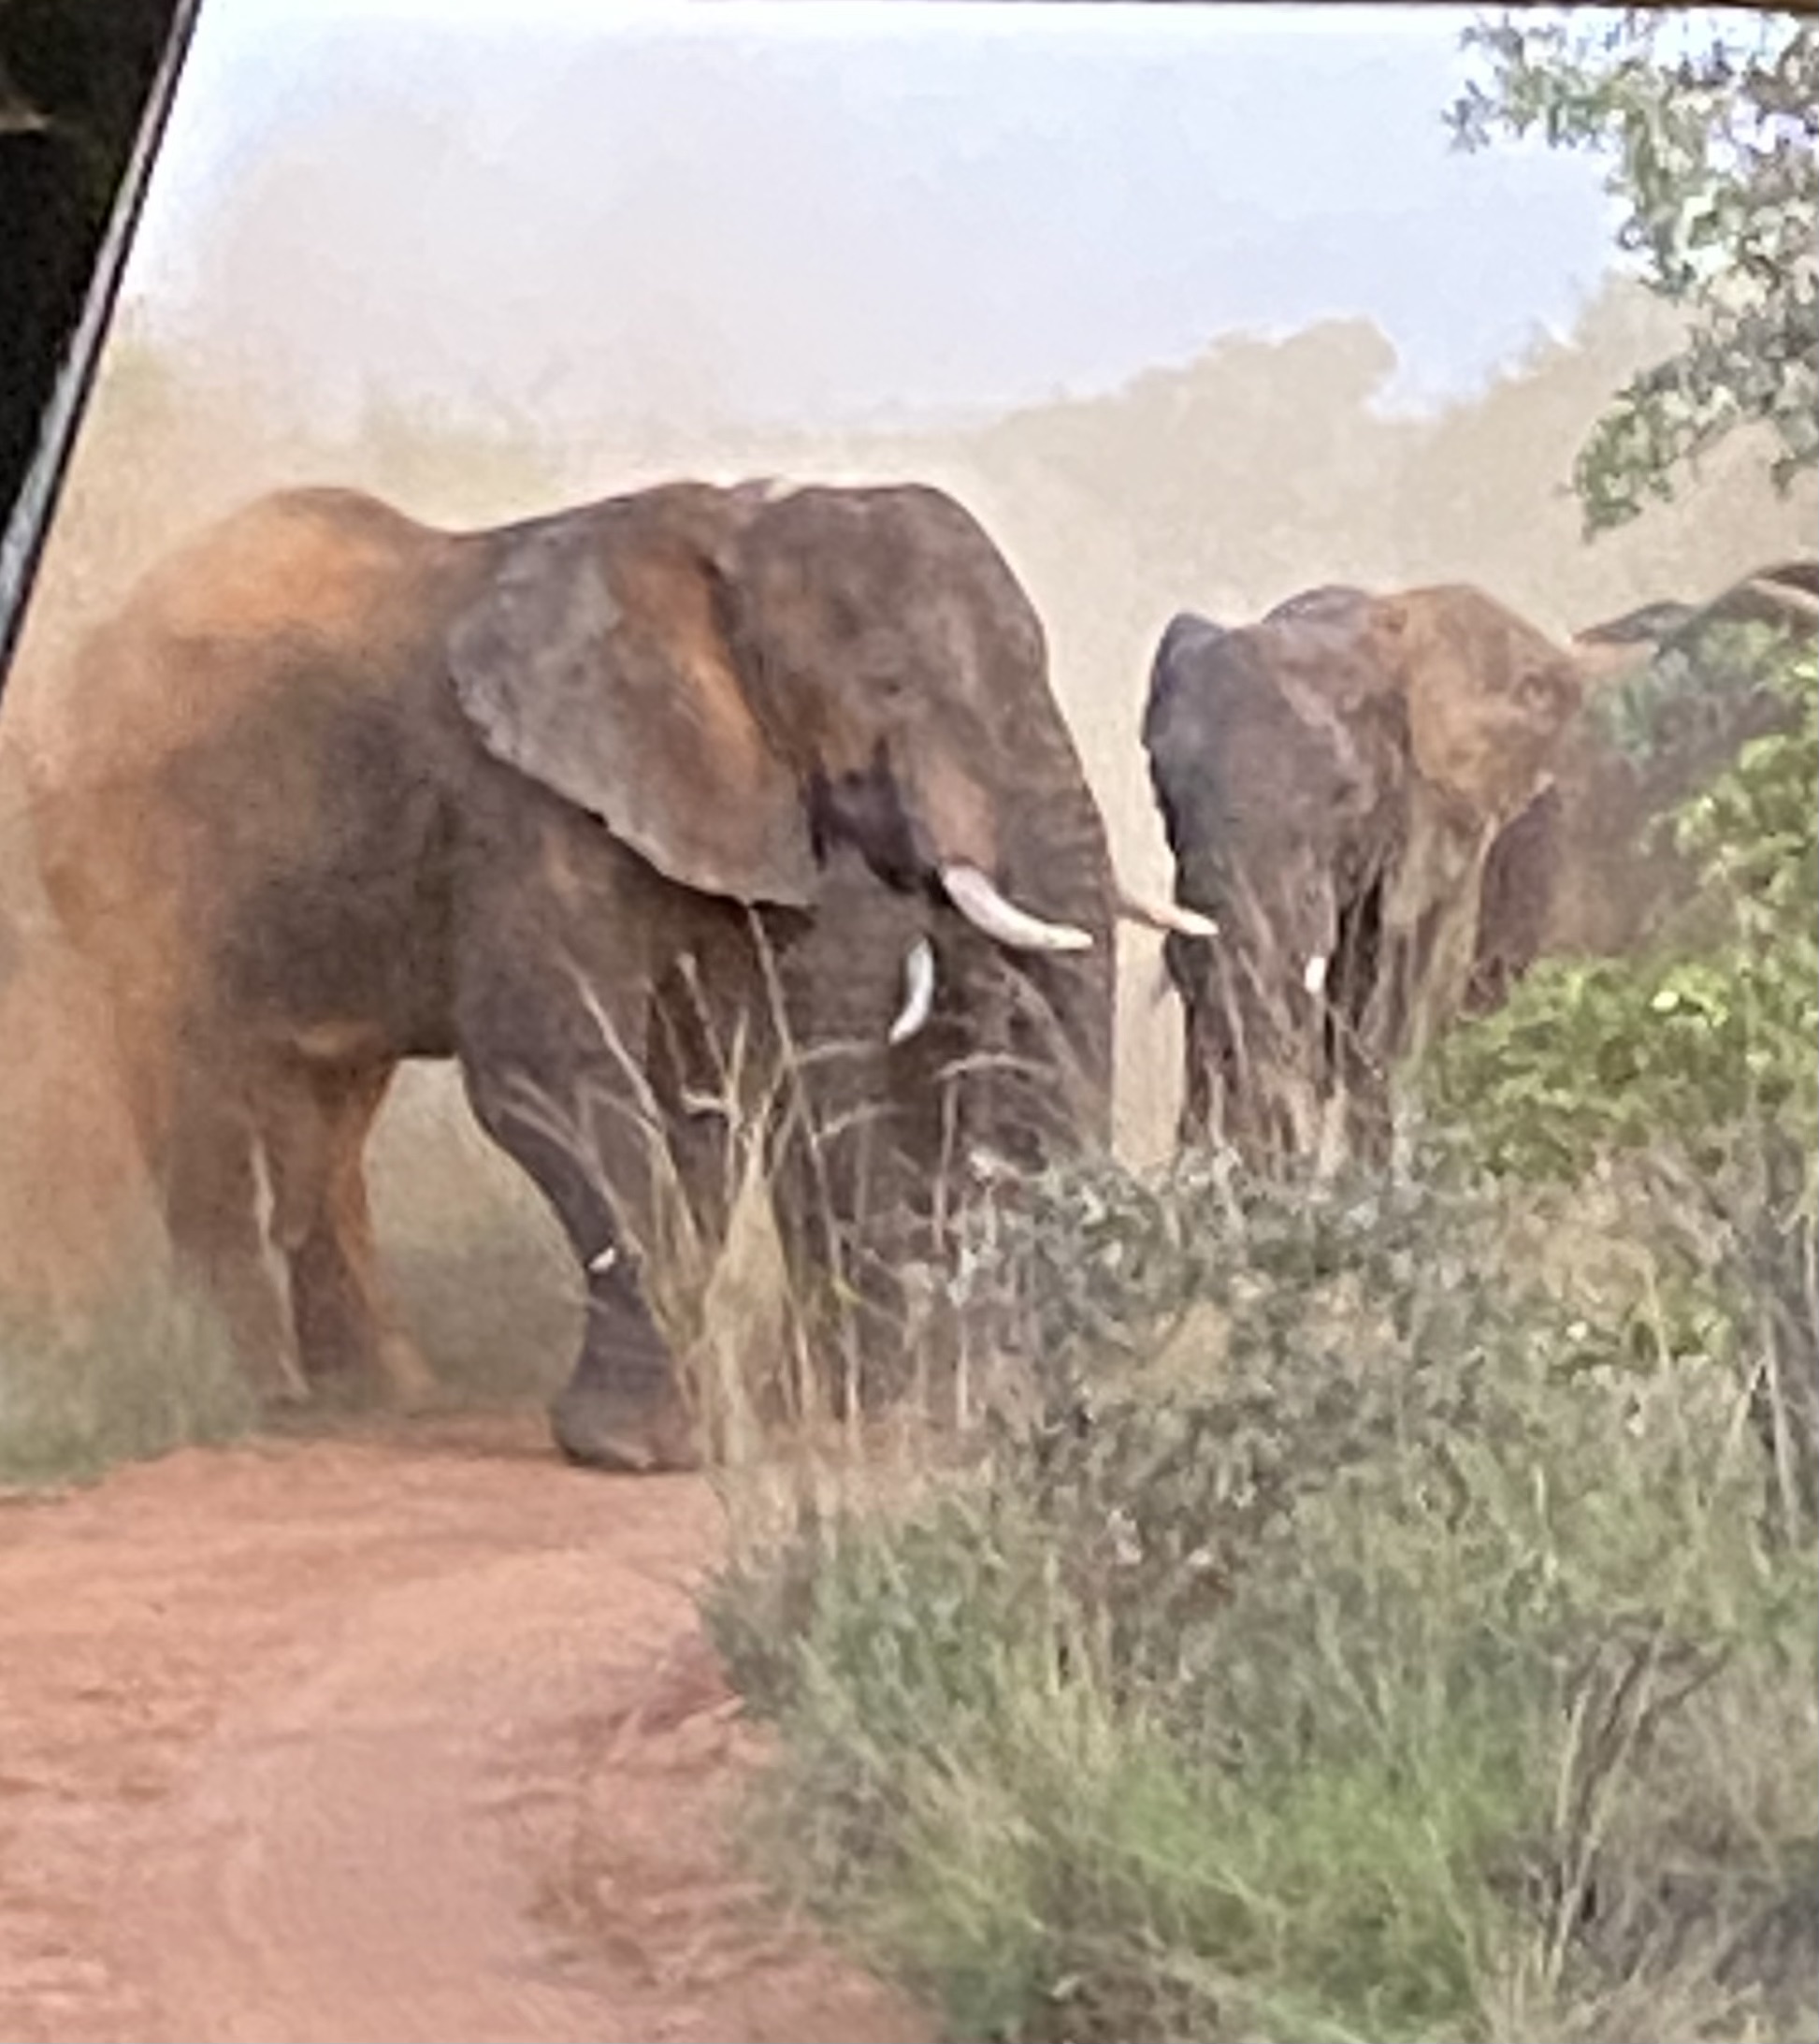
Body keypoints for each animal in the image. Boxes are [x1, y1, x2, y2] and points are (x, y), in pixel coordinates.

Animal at [20, 474, 1203, 1469]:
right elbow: (553, 1079)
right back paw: (260, 1397)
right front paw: (642, 1452)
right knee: (191, 1091)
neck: (734, 526)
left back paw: (379, 1395)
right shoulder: (518, 806)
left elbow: (707, 1091)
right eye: (891, 685)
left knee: (327, 1111)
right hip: (123, 856)